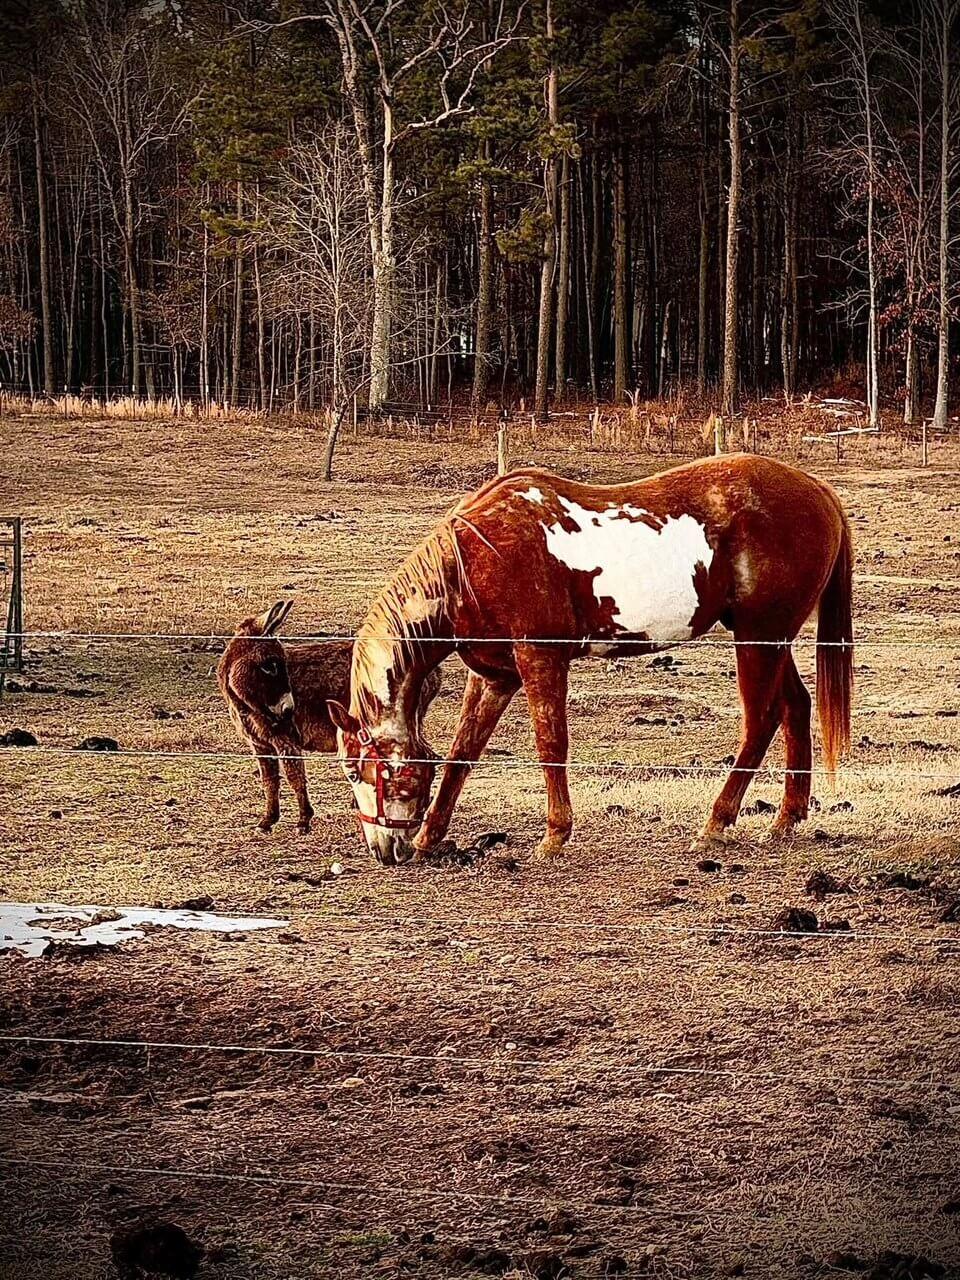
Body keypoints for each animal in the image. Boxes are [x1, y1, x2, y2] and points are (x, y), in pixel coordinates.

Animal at [328, 454, 853, 866]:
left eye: (354, 771)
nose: (383, 849)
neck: (473, 564)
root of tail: (819, 491)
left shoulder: (539, 659)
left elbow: (550, 745)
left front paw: (555, 835)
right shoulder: (495, 676)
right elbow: (463, 752)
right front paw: (429, 837)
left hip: (759, 637)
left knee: (761, 721)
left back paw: (717, 822)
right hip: (769, 638)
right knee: (796, 707)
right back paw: (785, 819)